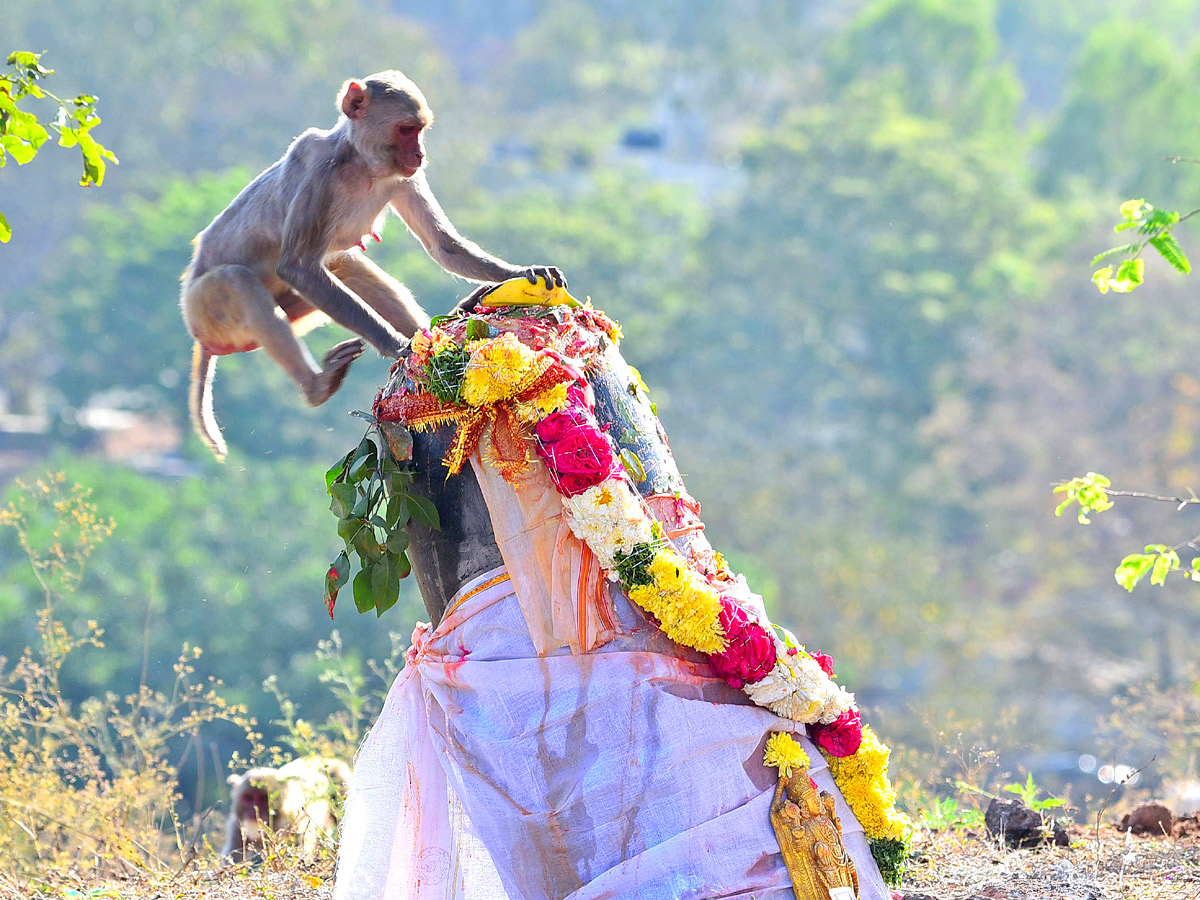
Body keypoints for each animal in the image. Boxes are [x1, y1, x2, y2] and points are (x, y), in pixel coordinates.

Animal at [182, 70, 566, 460]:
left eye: (420, 129)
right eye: (406, 129)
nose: (420, 154)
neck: (362, 165)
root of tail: (203, 337)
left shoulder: (404, 177)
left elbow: (442, 245)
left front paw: (521, 273)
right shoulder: (319, 174)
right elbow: (298, 267)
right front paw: (398, 345)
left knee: (344, 265)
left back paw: (436, 324)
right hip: (206, 311)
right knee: (238, 281)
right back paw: (319, 386)